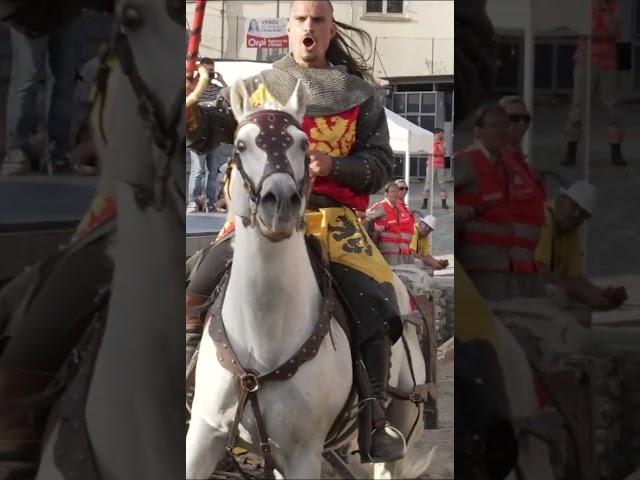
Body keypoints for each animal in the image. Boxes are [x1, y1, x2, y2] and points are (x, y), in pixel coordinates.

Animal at [188, 80, 428, 478]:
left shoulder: (303, 453)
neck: (263, 336)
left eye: (303, 144)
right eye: (240, 145)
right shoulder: (203, 436)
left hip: (402, 422)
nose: (279, 203)